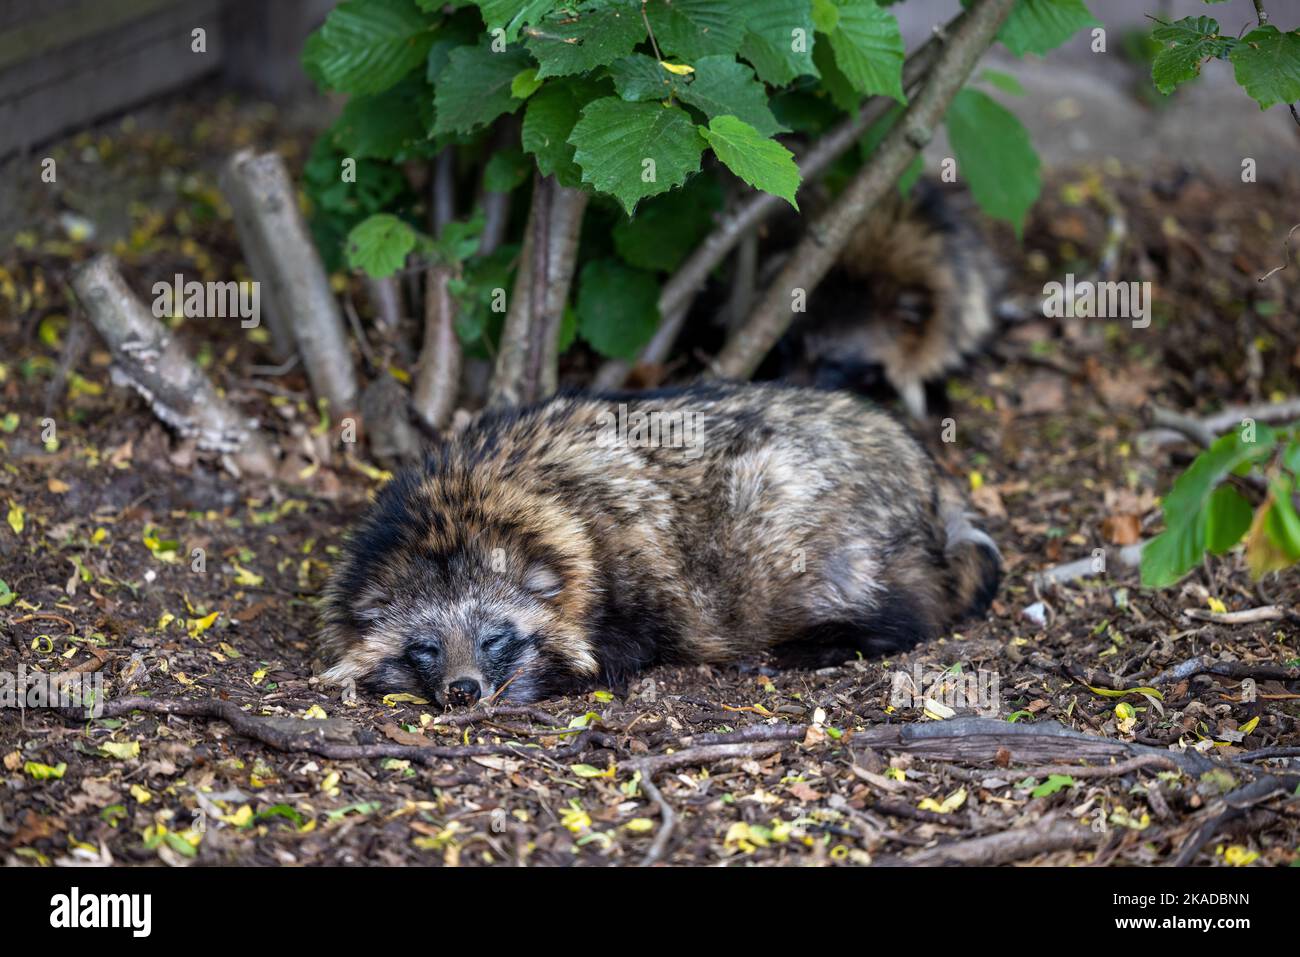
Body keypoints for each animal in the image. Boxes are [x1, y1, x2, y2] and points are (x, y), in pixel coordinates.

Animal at [318, 382, 1000, 707]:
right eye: (425, 648)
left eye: (494, 638)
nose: (464, 691)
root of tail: (926, 474)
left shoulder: (635, 557)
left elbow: (622, 648)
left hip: (808, 510)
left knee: (903, 603)